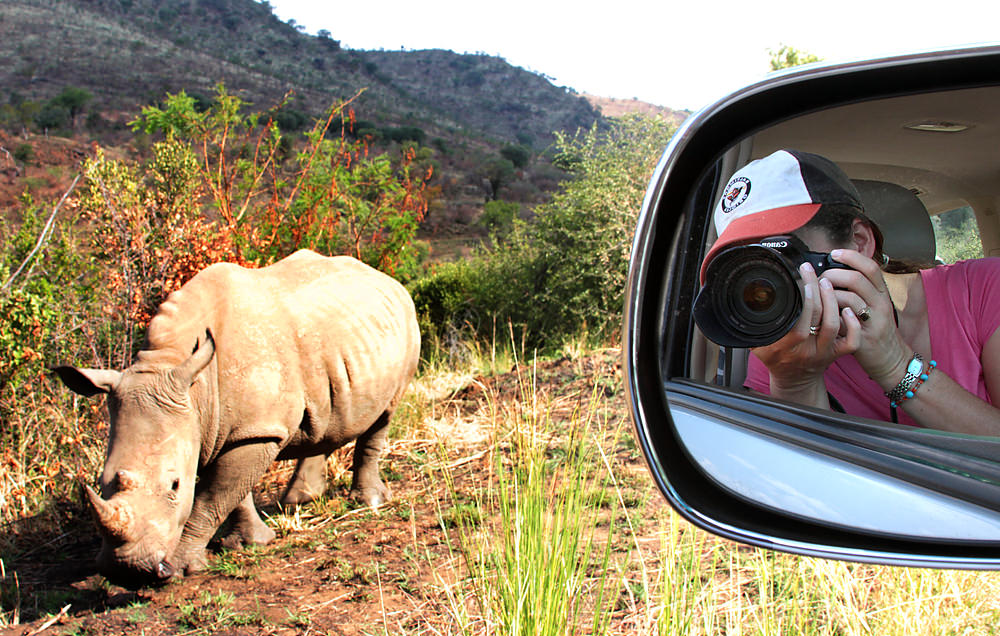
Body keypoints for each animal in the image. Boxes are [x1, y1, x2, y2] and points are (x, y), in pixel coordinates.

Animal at [54, 250, 420, 585]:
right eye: (102, 481)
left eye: (175, 485)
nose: (128, 572)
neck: (172, 366)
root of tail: (386, 279)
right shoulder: (224, 428)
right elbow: (232, 493)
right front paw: (249, 545)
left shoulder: (252, 431)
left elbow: (211, 497)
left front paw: (184, 567)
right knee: (325, 414)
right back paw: (299, 501)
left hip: (406, 323)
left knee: (384, 415)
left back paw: (369, 501)